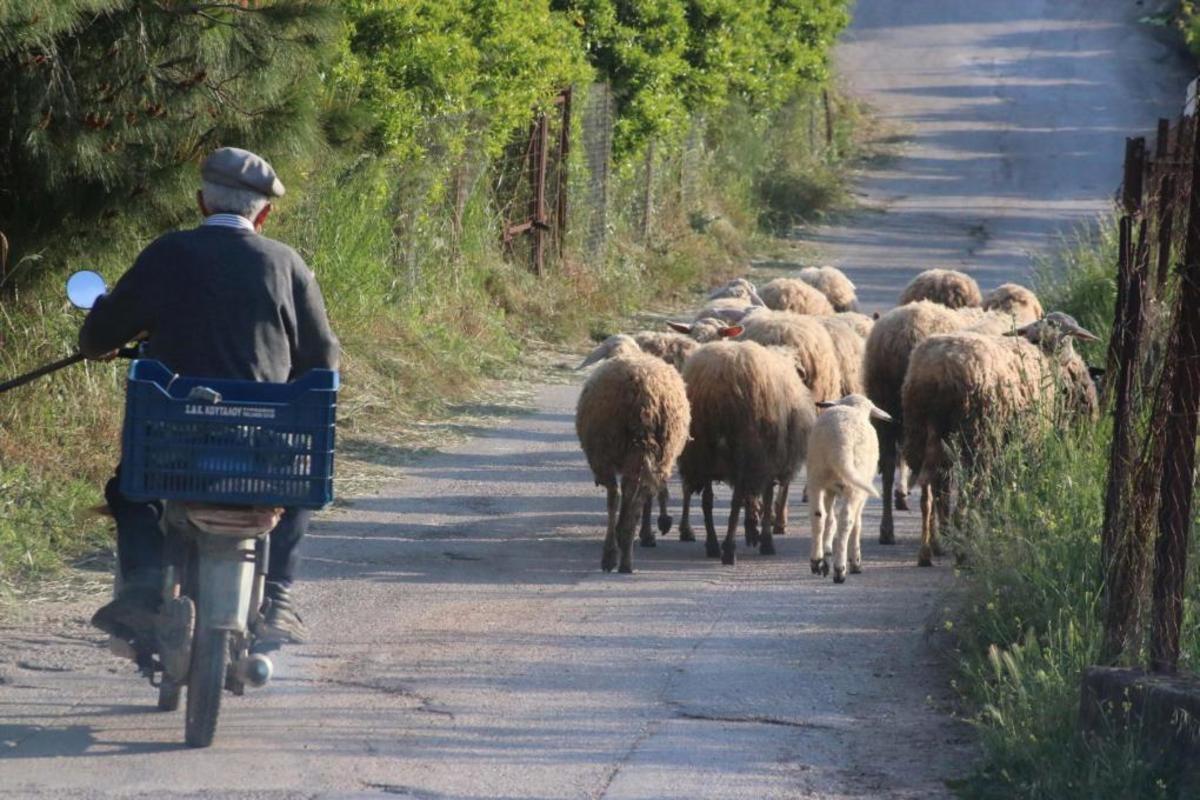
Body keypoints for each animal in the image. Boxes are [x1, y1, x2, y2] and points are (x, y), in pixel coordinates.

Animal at [573, 340, 691, 573]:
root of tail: (642, 391)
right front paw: (652, 530)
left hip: (608, 452)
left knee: (617, 496)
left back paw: (613, 553)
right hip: (650, 450)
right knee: (636, 496)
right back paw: (624, 552)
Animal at [676, 340, 816, 566]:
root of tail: (718, 384)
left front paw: (753, 529)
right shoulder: (766, 458)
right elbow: (766, 499)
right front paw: (765, 539)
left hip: (702, 453)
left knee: (707, 501)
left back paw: (713, 544)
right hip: (744, 447)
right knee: (735, 500)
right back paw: (728, 549)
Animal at [806, 393, 892, 582]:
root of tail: (841, 441)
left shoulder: (830, 490)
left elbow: (829, 520)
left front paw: (825, 558)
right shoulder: (861, 494)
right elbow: (856, 523)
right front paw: (855, 562)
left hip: (816, 475)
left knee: (818, 516)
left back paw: (816, 561)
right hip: (855, 486)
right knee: (846, 520)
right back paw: (840, 570)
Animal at [902, 311, 1099, 568]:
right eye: (1068, 338)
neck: (1044, 353)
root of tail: (940, 372)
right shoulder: (1030, 439)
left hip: (921, 432)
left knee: (929, 492)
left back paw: (928, 551)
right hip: (976, 434)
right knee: (968, 493)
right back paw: (963, 552)